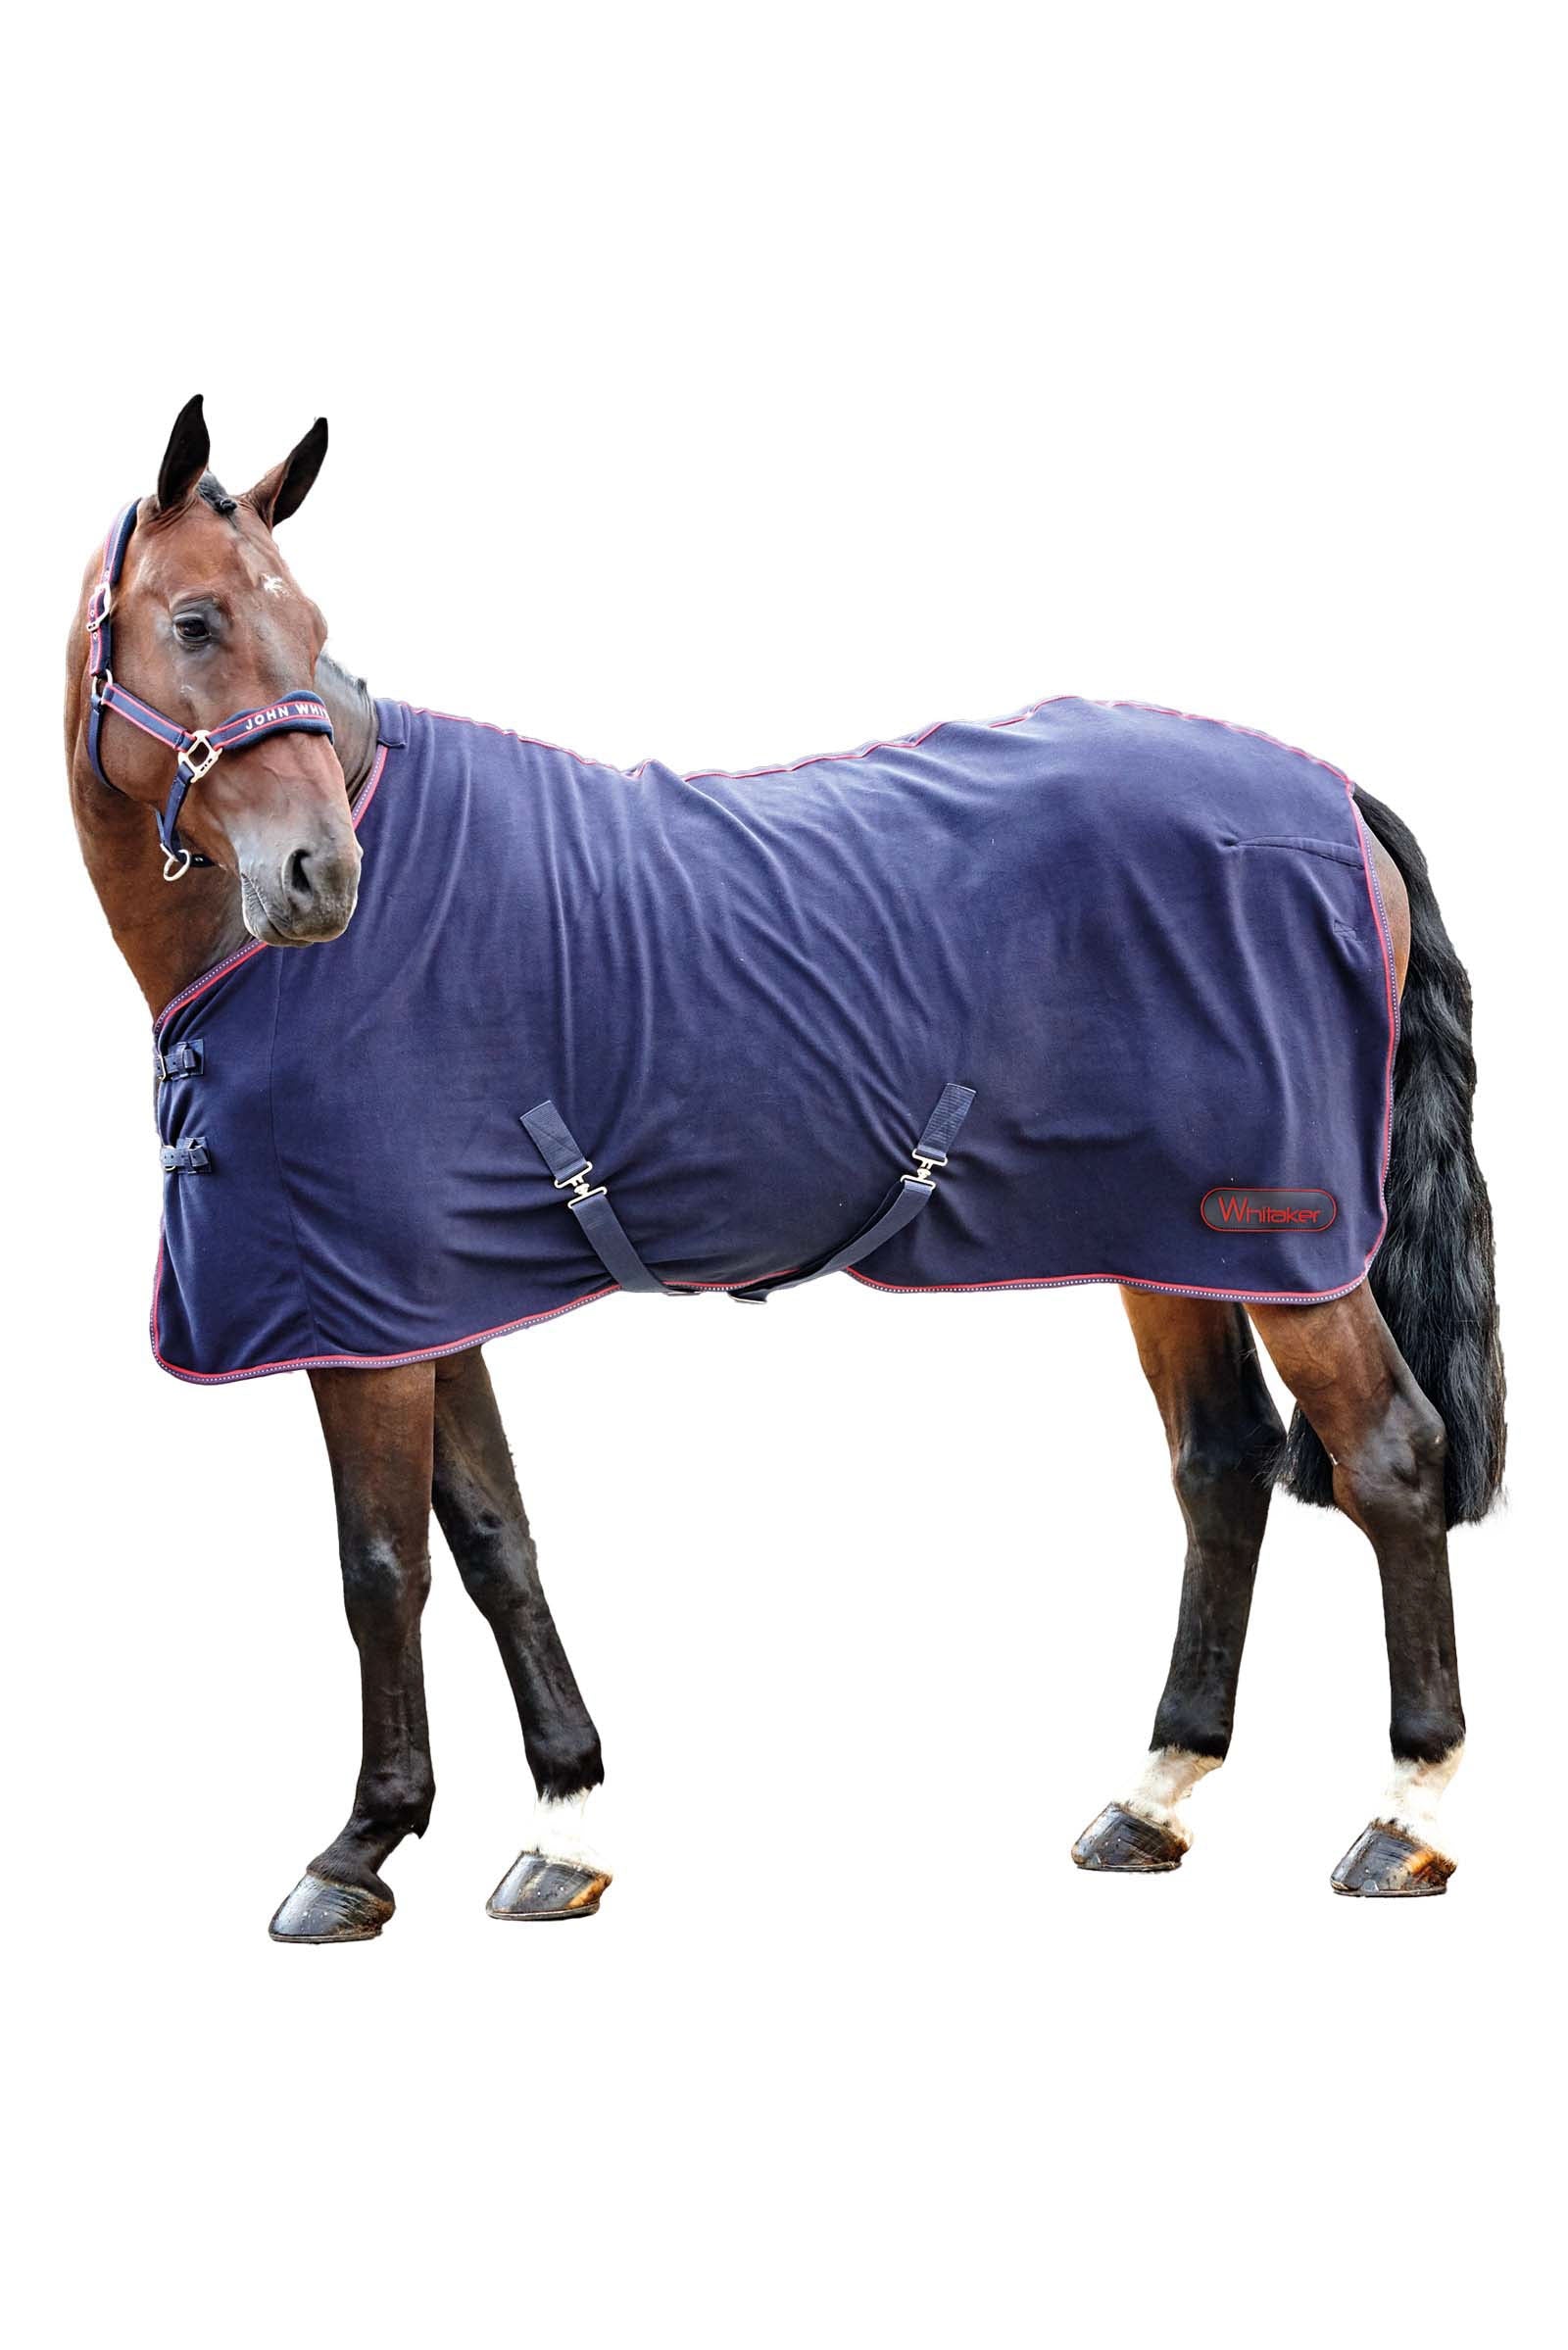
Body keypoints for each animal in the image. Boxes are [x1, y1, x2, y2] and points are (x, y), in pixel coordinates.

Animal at [64, 397, 1505, 1940]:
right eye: (198, 621)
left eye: (310, 623)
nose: (318, 878)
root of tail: (1332, 795)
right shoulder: (421, 1302)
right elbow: (493, 1536)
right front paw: (565, 1825)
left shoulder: (356, 1310)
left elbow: (381, 1566)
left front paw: (358, 1851)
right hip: (1172, 1242)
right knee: (1221, 1465)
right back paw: (1153, 1795)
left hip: (1291, 1243)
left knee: (1391, 1454)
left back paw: (1406, 1817)